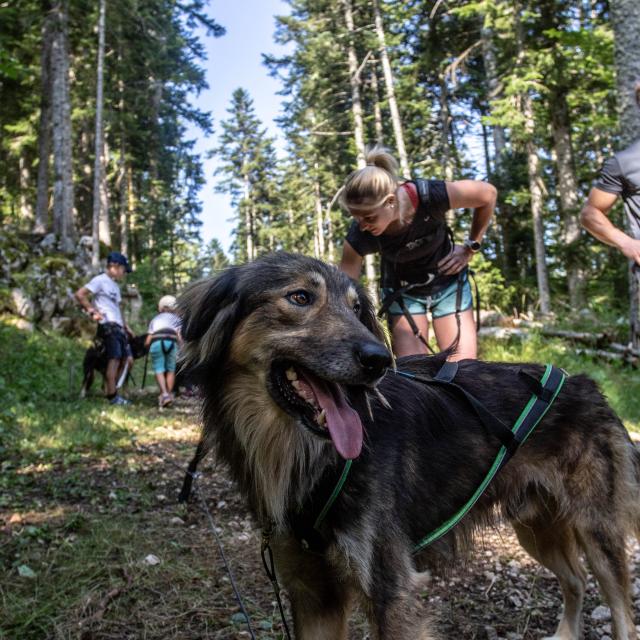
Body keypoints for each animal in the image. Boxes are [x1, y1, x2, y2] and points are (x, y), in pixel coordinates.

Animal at [176, 252, 640, 636]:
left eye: (358, 309)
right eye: (301, 297)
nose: (379, 360)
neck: (309, 456)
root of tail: (587, 384)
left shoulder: (390, 589)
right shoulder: (312, 592)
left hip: (595, 530)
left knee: (620, 611)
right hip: (536, 527)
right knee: (575, 581)